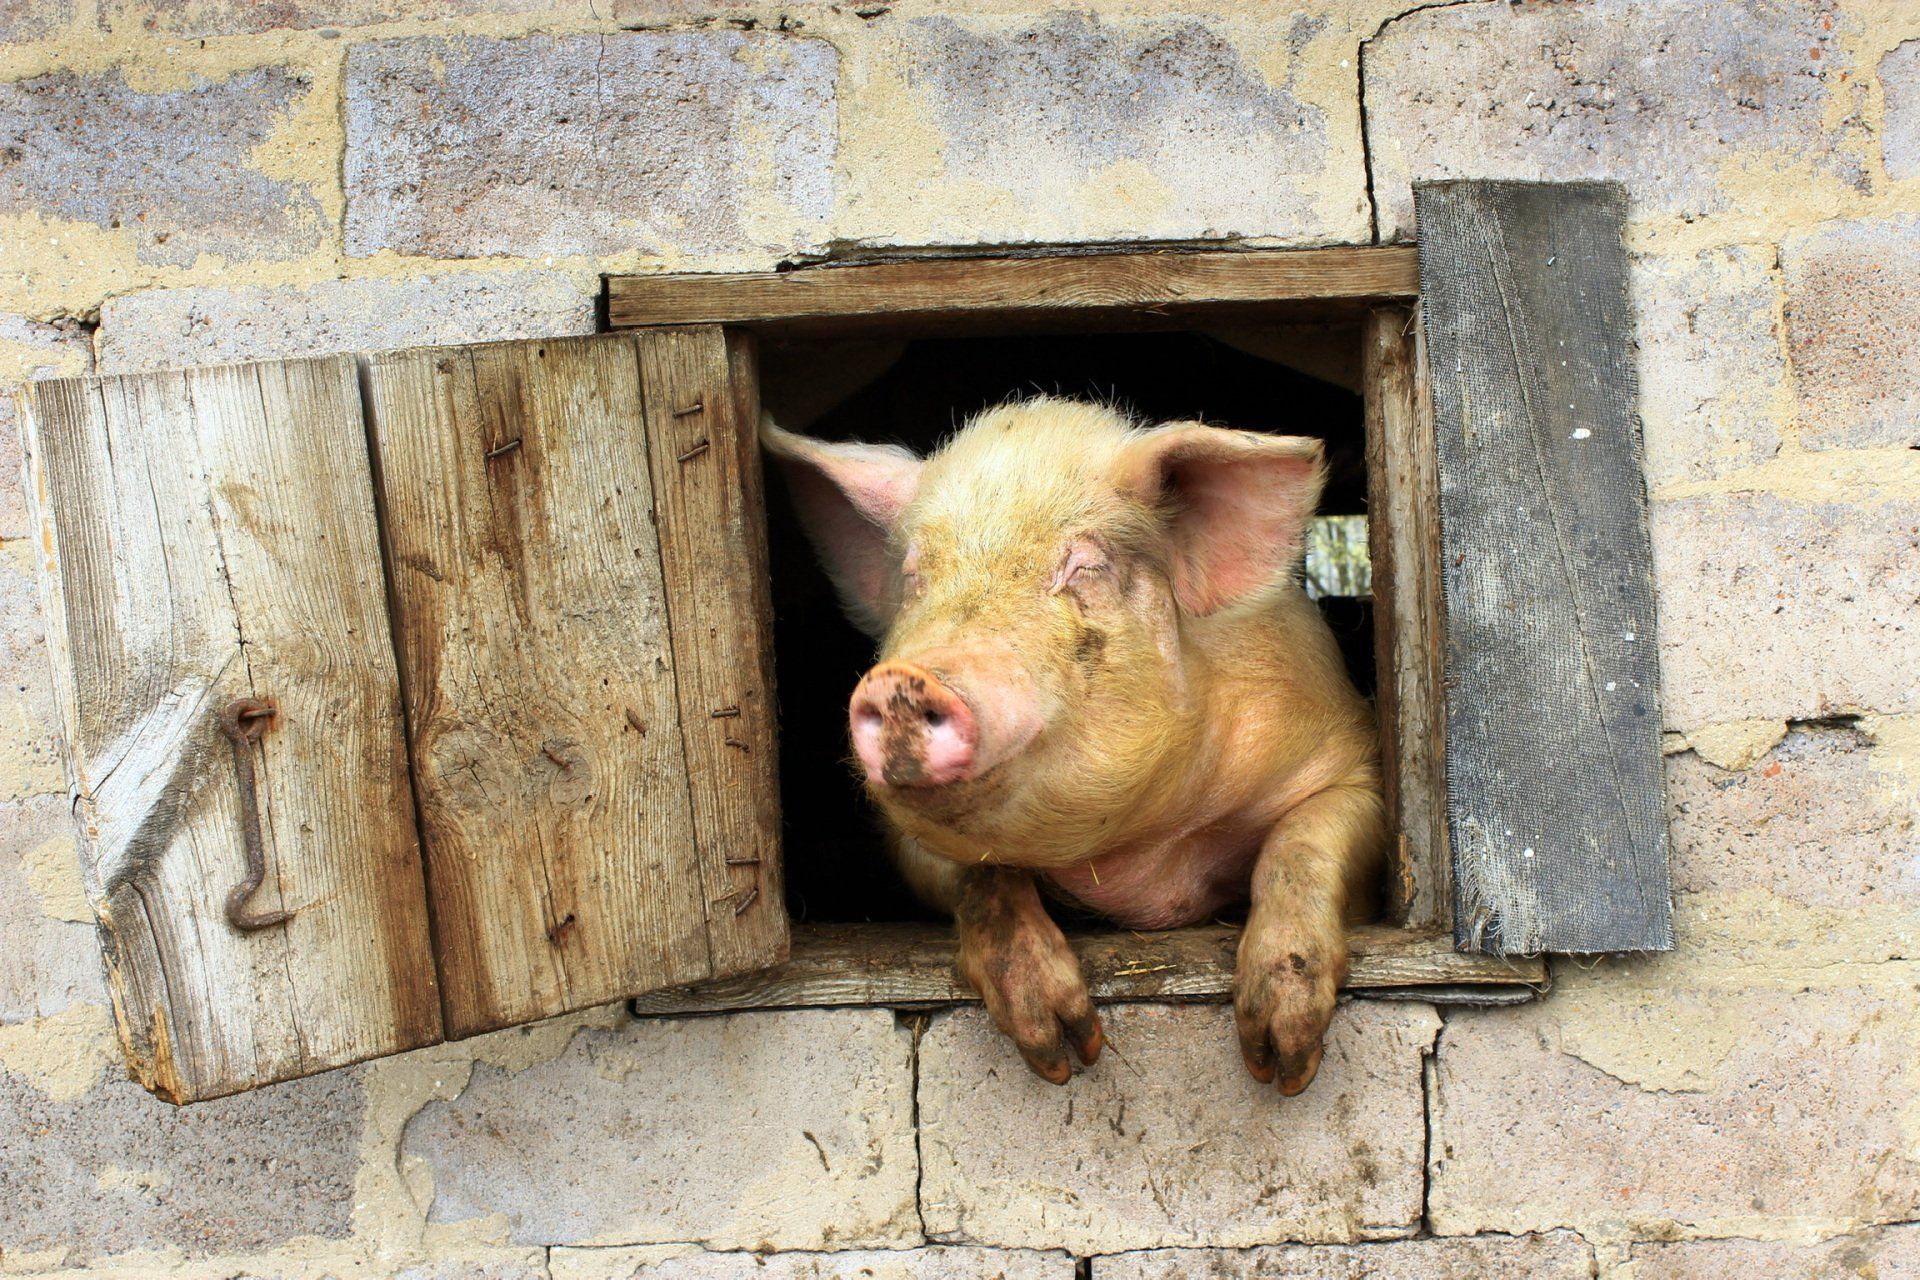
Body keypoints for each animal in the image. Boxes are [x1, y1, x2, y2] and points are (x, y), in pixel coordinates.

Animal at [764, 397, 1384, 1094]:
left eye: (1084, 563)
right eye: (915, 574)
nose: (901, 680)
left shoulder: (1348, 759)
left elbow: (1300, 845)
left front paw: (1280, 1063)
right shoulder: (904, 840)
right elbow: (980, 877)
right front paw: (1065, 1052)